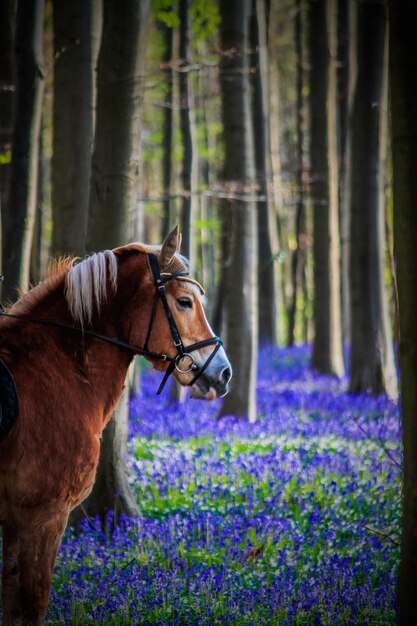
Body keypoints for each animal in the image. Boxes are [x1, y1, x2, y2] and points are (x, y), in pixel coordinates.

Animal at [0, 225, 231, 624]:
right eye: (185, 301)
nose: (224, 372)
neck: (53, 369)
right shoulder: (42, 516)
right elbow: (31, 608)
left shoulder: (18, 524)